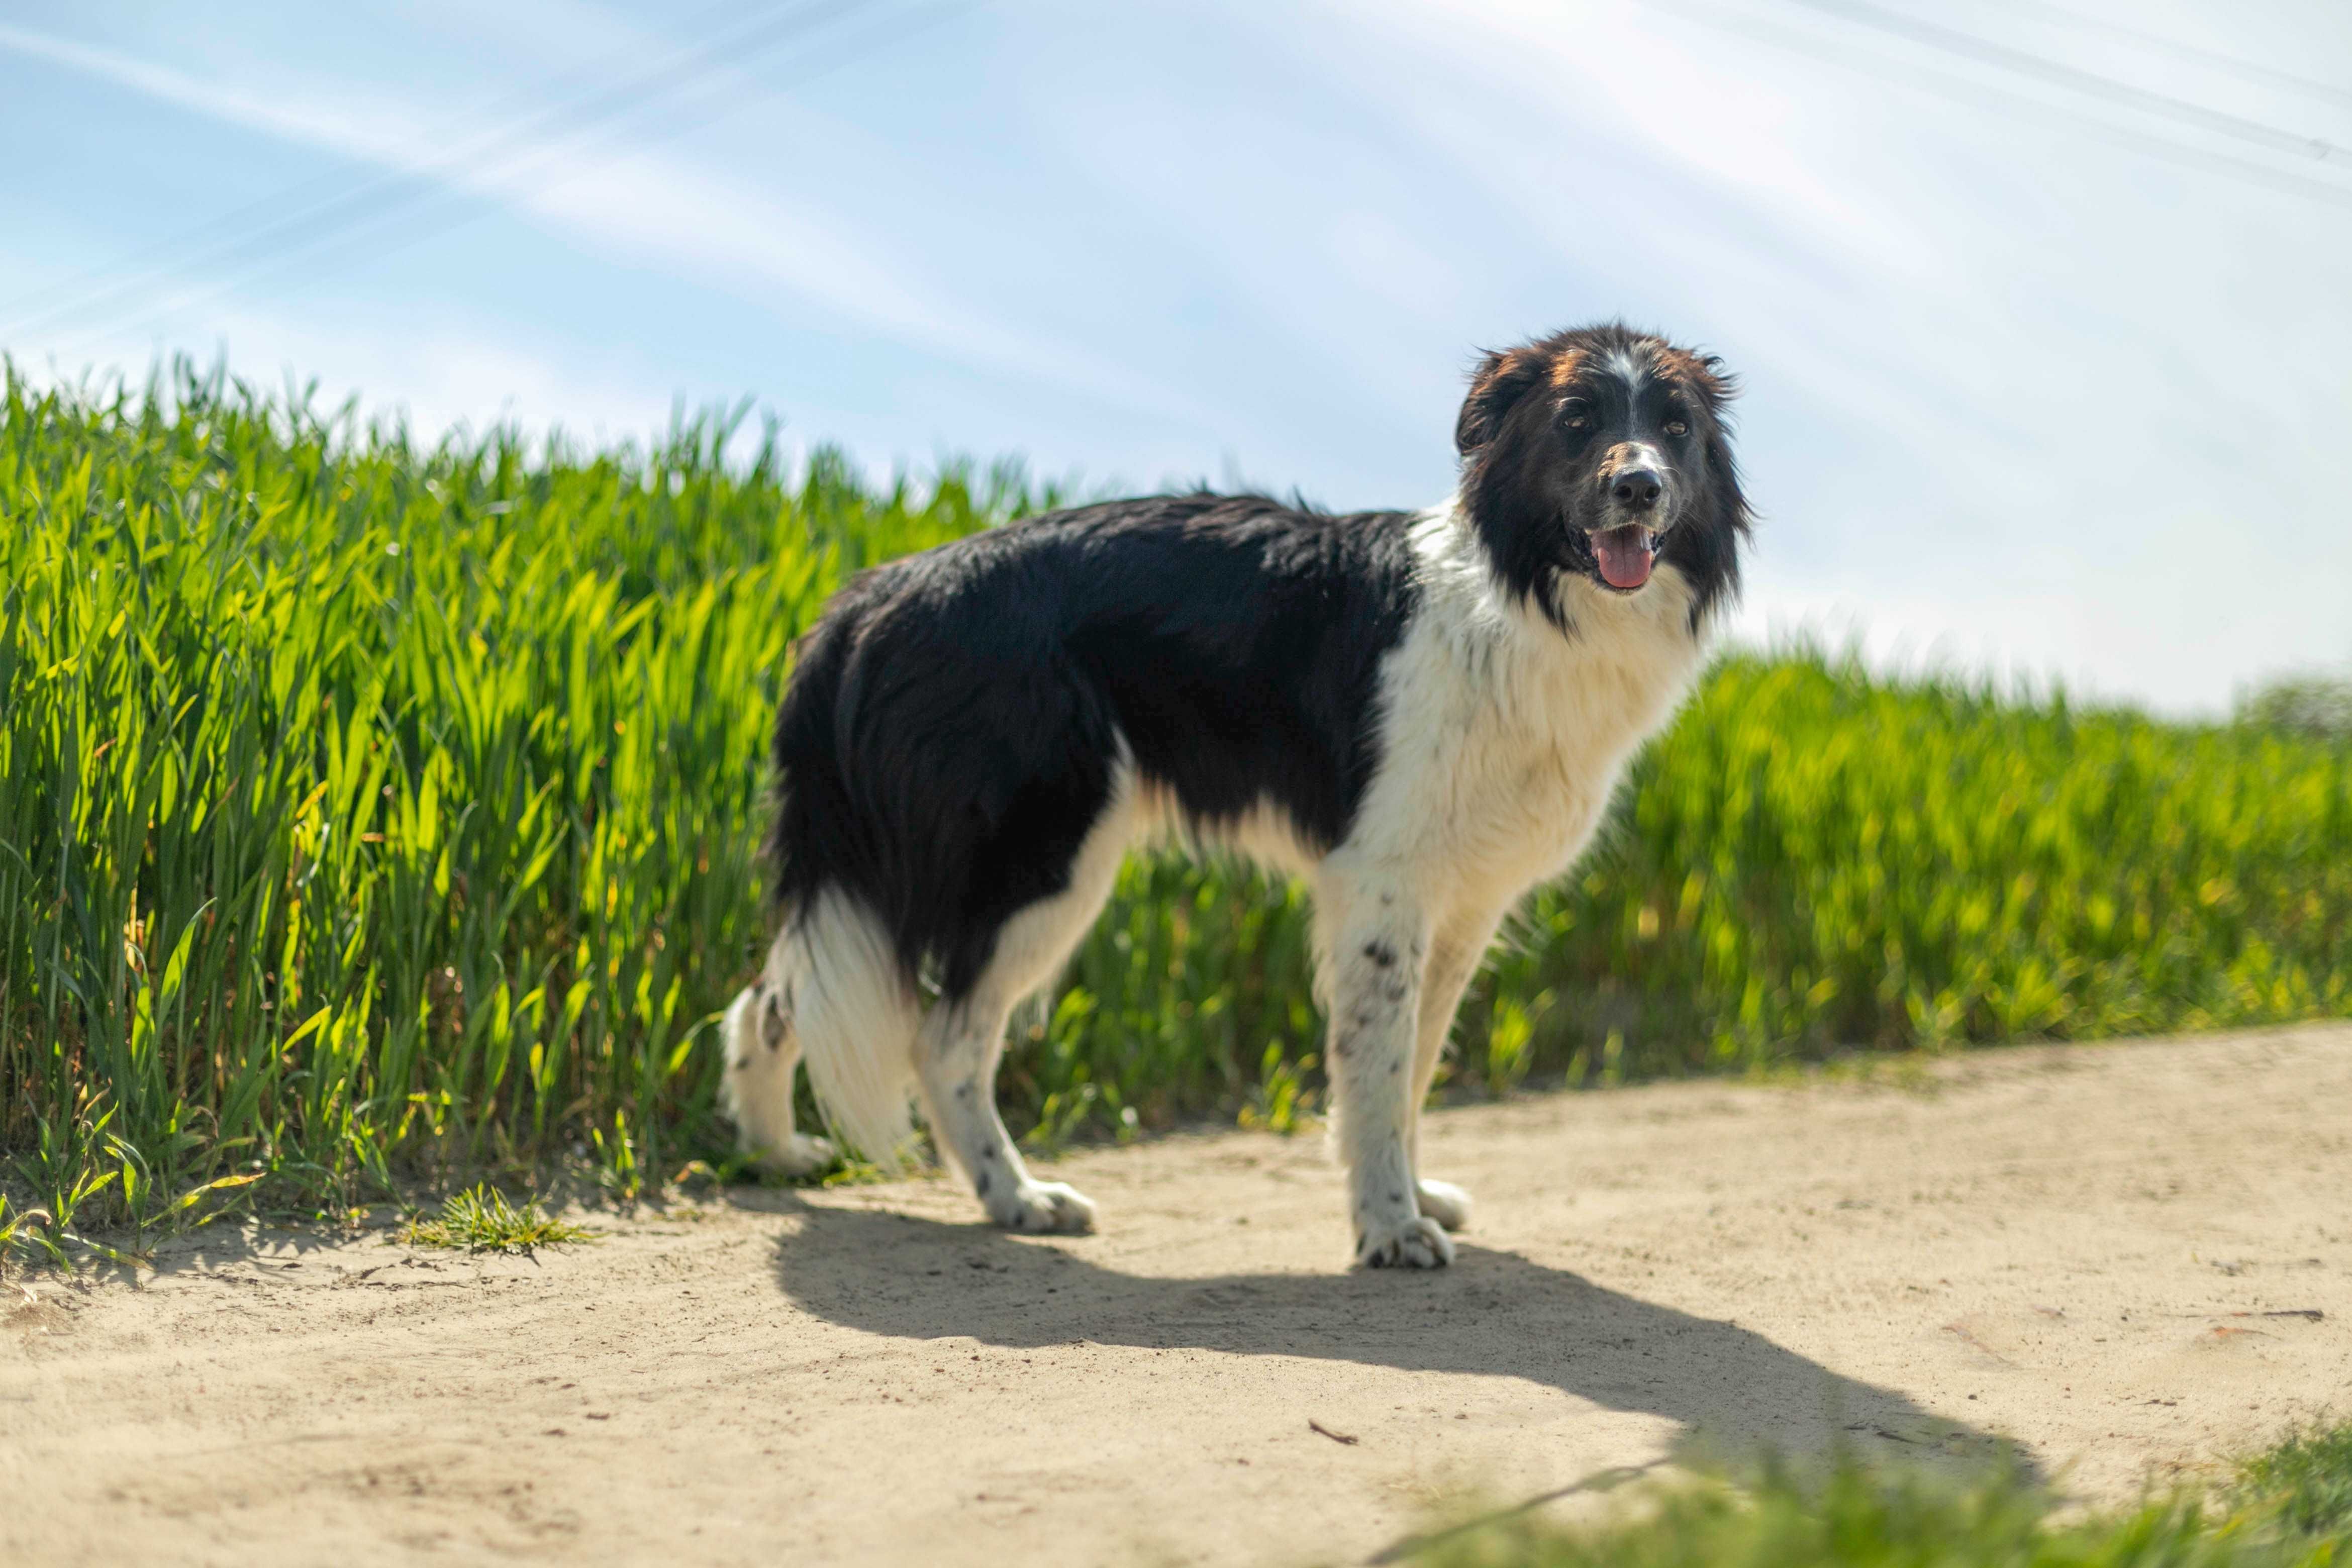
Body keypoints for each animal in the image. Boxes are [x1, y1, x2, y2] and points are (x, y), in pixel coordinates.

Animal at [729, 324, 1749, 1269]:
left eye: (1675, 428)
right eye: (1577, 420)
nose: (1641, 487)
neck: (1522, 599)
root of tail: (873, 594)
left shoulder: (1463, 901)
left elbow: (1415, 1064)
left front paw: (1412, 1195)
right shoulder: (1380, 883)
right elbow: (1378, 1066)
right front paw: (1389, 1227)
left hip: (894, 873)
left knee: (780, 998)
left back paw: (776, 1154)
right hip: (1038, 861)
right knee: (941, 1042)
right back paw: (1018, 1199)